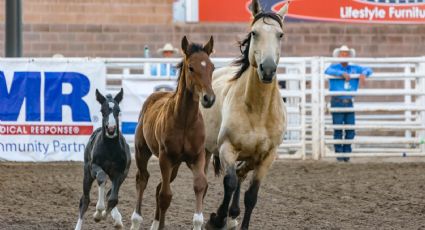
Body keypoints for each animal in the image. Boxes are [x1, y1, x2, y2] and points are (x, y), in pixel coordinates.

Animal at [74, 88, 130, 230]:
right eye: (102, 110)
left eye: (118, 110)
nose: (111, 129)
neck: (110, 148)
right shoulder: (94, 167)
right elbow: (101, 178)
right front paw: (98, 213)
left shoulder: (120, 172)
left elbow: (113, 198)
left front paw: (106, 215)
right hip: (87, 174)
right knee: (85, 200)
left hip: (123, 174)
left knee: (110, 194)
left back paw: (117, 220)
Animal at [130, 36, 215, 230]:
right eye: (191, 67)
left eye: (212, 67)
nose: (209, 98)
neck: (185, 121)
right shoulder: (165, 158)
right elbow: (165, 196)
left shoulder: (197, 157)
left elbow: (200, 185)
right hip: (142, 152)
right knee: (143, 180)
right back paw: (135, 221)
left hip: (175, 166)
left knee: (158, 186)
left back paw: (154, 224)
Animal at [201, 0, 288, 229]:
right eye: (254, 33)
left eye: (280, 35)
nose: (268, 69)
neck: (258, 110)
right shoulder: (227, 148)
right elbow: (229, 182)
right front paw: (216, 219)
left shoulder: (267, 157)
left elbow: (251, 195)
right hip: (205, 150)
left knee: (241, 174)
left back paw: (233, 214)